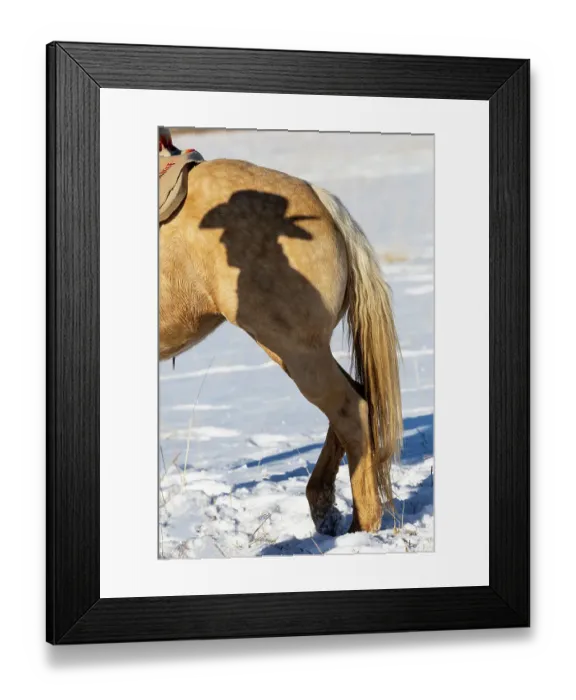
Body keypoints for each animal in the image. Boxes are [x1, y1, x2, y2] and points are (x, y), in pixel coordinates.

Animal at [159, 157, 402, 535]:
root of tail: (319, 198)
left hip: (296, 350)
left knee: (351, 410)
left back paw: (360, 527)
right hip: (299, 351)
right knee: (355, 398)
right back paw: (324, 508)